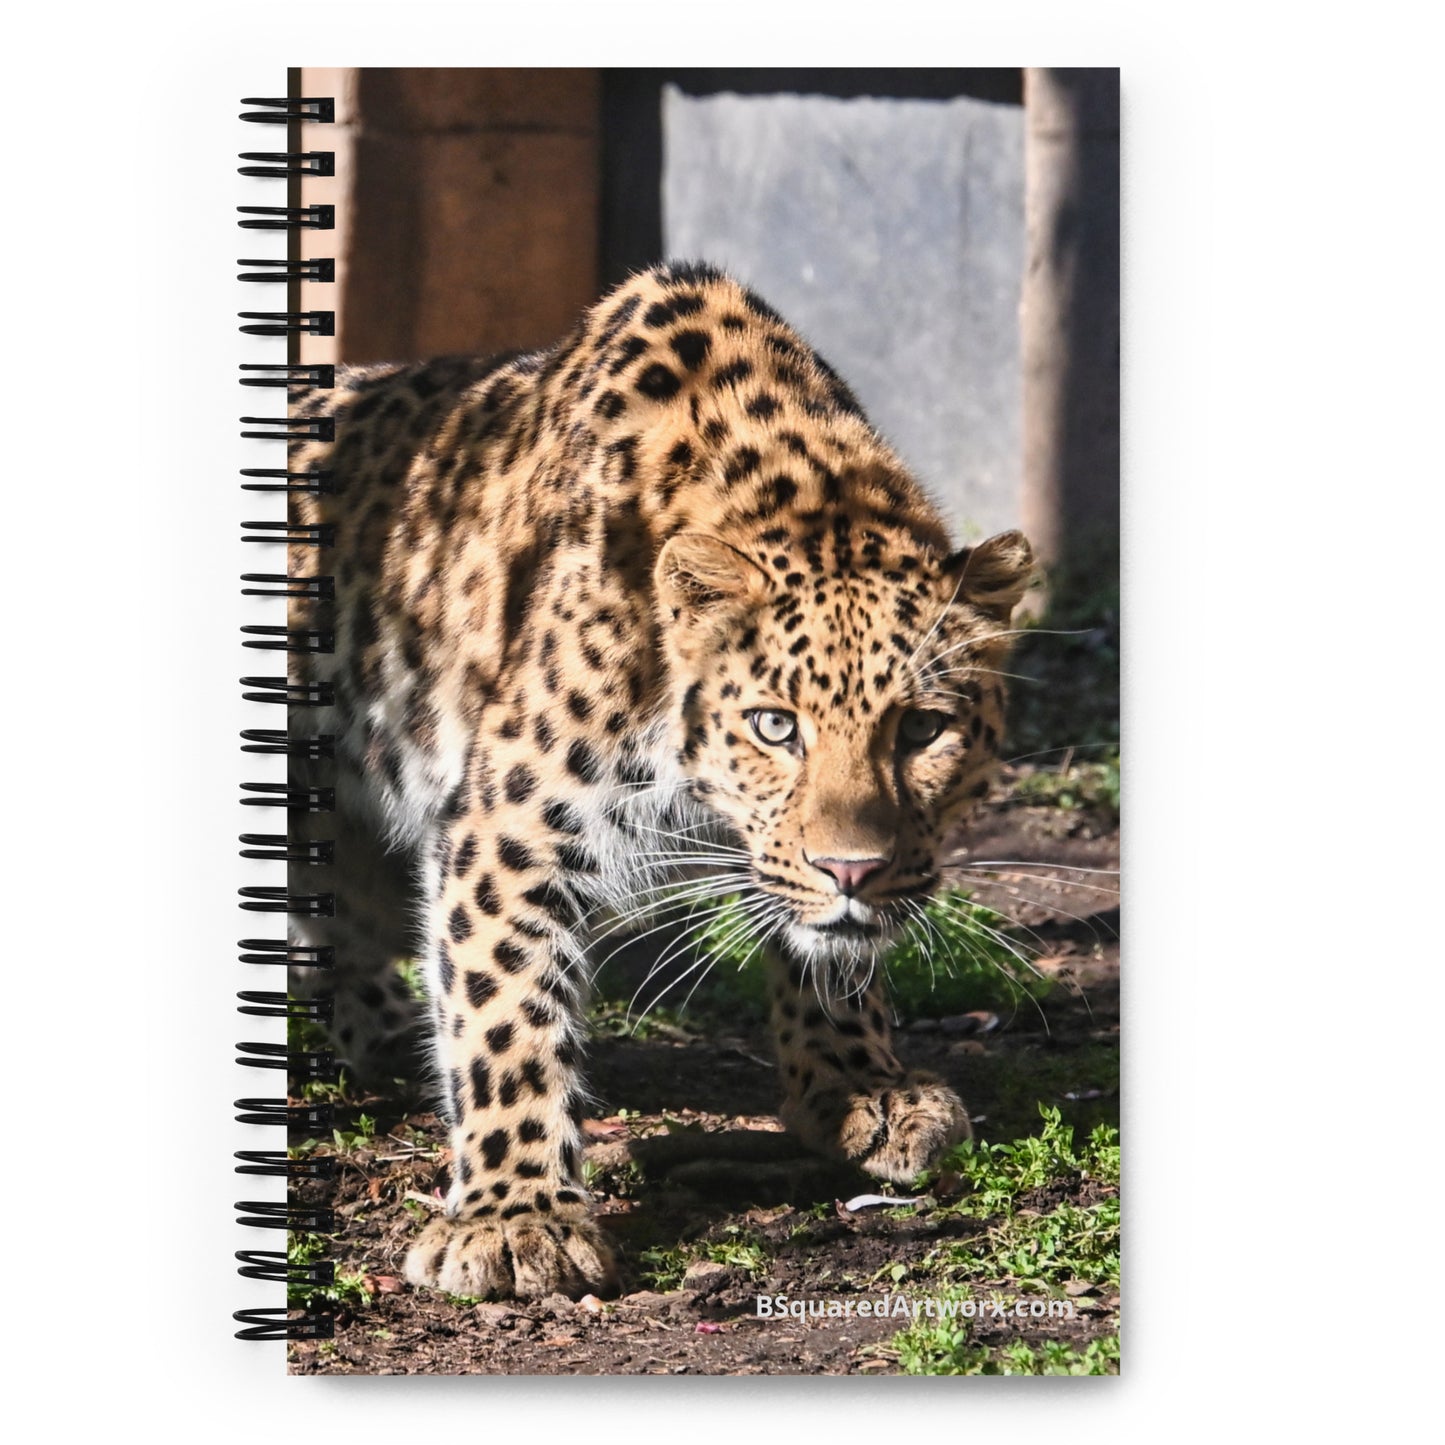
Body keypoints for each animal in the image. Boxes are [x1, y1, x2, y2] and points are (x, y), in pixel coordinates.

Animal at [284, 260, 1034, 1302]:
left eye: (923, 728)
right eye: (774, 725)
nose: (852, 870)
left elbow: (827, 955)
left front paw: (861, 1088)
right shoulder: (508, 822)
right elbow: (506, 1012)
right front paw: (514, 1218)